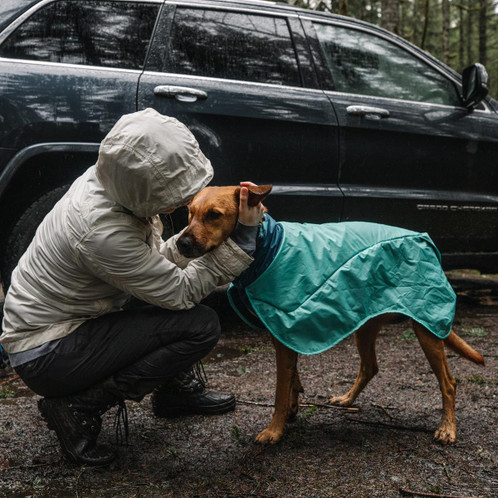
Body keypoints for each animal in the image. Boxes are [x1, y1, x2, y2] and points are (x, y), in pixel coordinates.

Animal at [177, 185, 484, 446]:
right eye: (189, 213)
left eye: (214, 215)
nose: (180, 243)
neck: (266, 243)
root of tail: (423, 238)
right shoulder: (284, 333)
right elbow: (292, 381)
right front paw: (292, 409)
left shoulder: (284, 336)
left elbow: (279, 391)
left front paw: (274, 430)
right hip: (365, 325)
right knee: (370, 367)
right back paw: (348, 399)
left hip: (426, 326)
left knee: (449, 383)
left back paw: (447, 429)